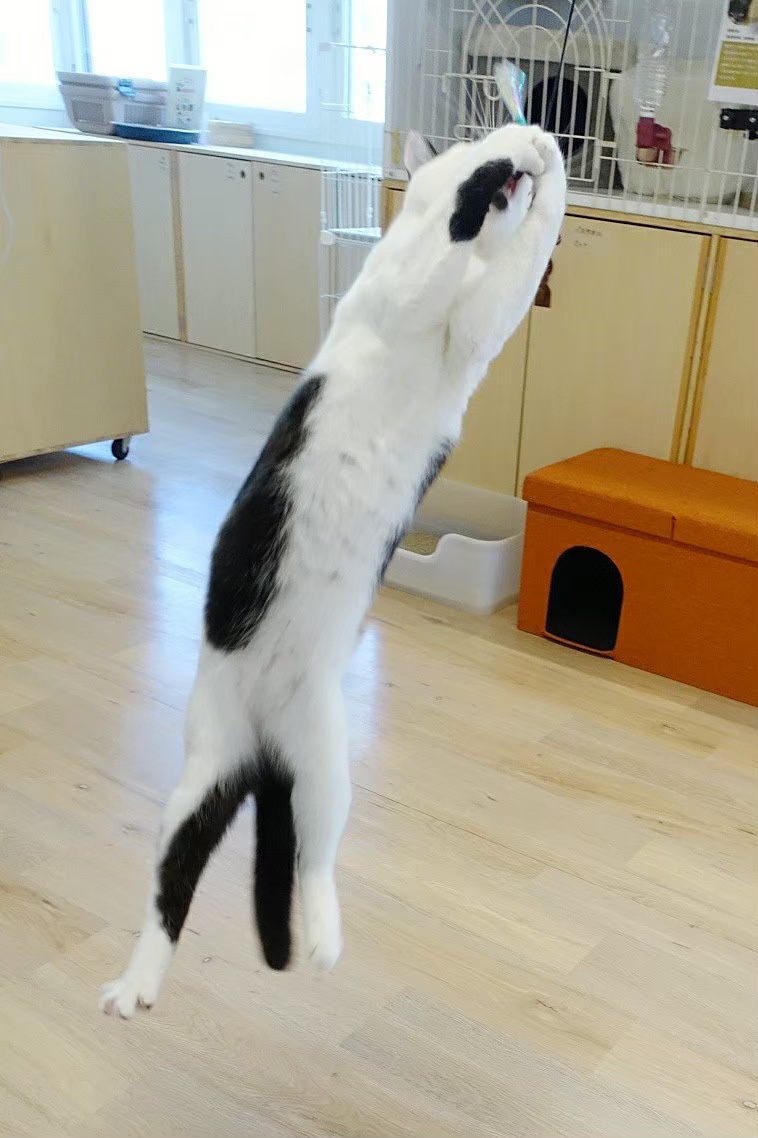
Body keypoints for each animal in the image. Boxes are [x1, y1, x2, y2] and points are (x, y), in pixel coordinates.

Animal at [100, 123, 566, 1017]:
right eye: (494, 174)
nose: (518, 173)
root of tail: (262, 758)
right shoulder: (416, 287)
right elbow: (455, 232)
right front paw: (514, 151)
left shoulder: (478, 326)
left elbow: (521, 268)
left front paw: (548, 161)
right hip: (204, 769)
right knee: (171, 884)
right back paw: (136, 982)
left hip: (323, 767)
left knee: (309, 857)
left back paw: (320, 936)